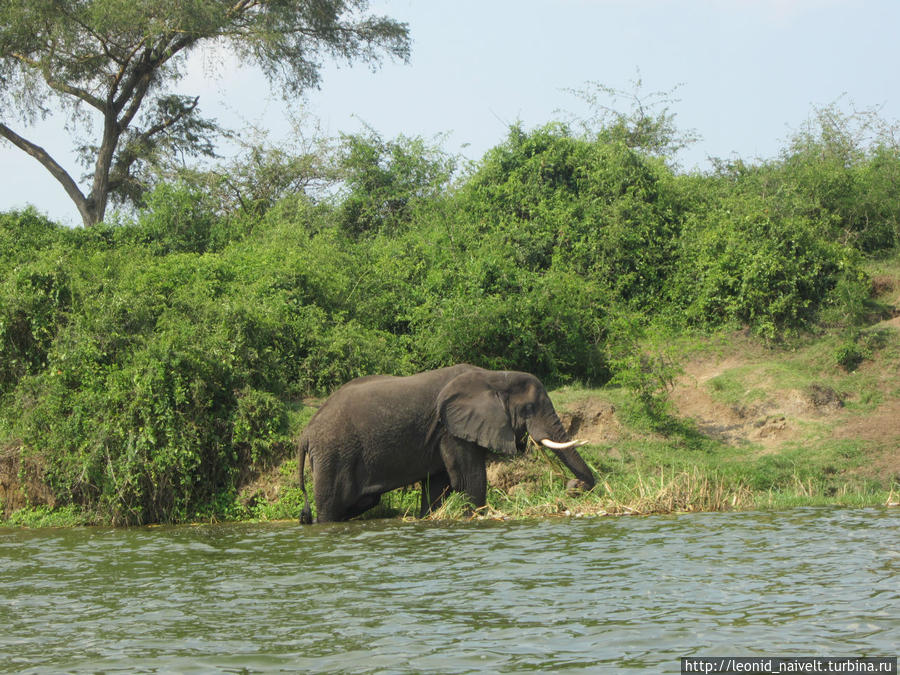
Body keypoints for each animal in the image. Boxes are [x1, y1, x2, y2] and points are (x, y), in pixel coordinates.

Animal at [296, 368, 596, 524]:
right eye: (529, 408)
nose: (573, 487)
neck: (494, 377)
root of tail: (305, 433)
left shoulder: (441, 434)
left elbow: (438, 485)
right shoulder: (452, 430)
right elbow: (469, 478)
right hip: (334, 454)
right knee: (331, 504)